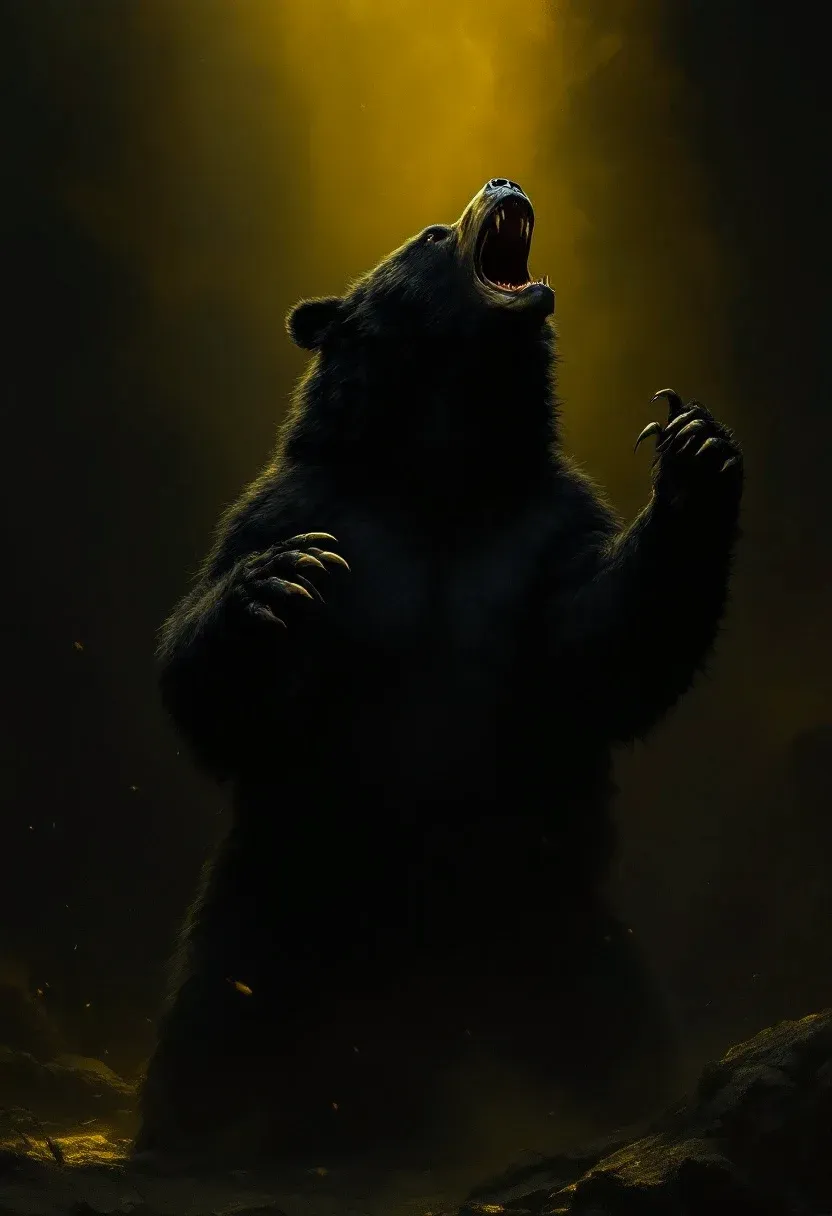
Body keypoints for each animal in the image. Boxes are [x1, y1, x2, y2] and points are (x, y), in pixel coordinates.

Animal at [135, 178, 743, 1165]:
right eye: (427, 233)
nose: (505, 181)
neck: (445, 467)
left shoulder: (539, 532)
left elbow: (602, 643)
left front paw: (693, 448)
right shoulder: (313, 506)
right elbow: (211, 681)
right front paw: (275, 584)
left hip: (564, 936)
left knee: (620, 1044)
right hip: (269, 916)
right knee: (206, 1041)